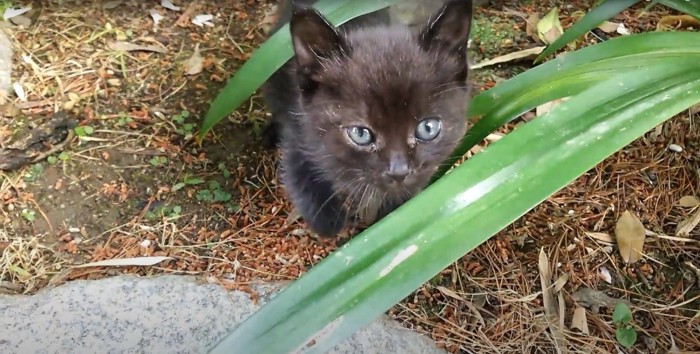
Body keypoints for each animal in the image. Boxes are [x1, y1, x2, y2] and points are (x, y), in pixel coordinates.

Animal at [264, 0, 476, 238]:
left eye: (428, 128)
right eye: (360, 134)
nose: (399, 171)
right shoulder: (298, 127)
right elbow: (298, 170)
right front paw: (328, 221)